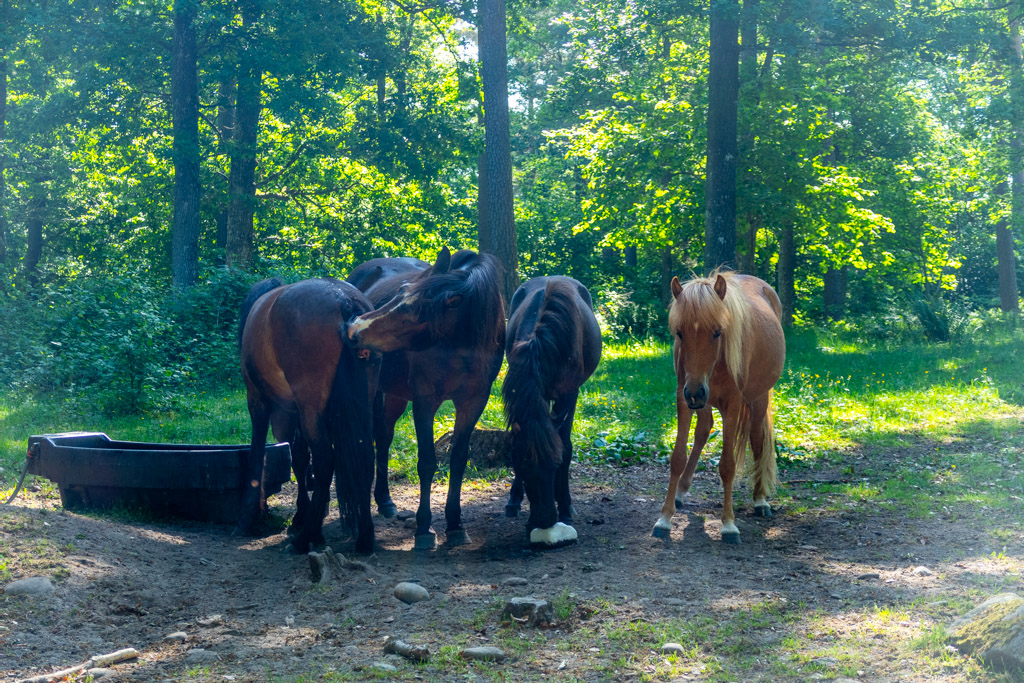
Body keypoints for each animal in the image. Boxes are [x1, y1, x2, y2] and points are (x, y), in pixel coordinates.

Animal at [235, 278, 380, 557]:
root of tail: (343, 299)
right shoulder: (296, 412)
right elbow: (300, 458)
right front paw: (302, 514)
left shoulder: (260, 402)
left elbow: (258, 453)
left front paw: (249, 514)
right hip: (361, 403)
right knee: (365, 459)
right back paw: (364, 537)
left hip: (309, 408)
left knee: (325, 460)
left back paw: (305, 538)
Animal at [346, 248, 505, 552]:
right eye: (401, 291)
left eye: (414, 313)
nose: (354, 329)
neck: (459, 345)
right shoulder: (425, 401)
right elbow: (427, 462)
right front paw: (423, 528)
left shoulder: (474, 402)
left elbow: (458, 460)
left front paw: (455, 525)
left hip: (396, 395)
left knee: (384, 437)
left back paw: (385, 501)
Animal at [501, 274, 598, 548]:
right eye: (522, 466)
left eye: (554, 466)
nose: (545, 520)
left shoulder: (570, 393)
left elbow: (565, 445)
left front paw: (565, 507)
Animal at [651, 270, 786, 544]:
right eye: (679, 332)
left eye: (717, 332)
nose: (695, 391)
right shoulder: (684, 398)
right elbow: (678, 457)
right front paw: (665, 518)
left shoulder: (732, 403)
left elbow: (727, 465)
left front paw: (729, 524)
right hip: (701, 401)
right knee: (704, 429)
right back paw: (681, 492)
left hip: (758, 398)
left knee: (757, 439)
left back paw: (760, 499)